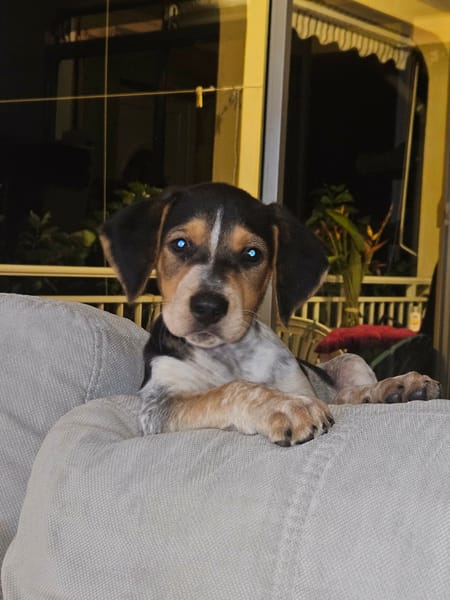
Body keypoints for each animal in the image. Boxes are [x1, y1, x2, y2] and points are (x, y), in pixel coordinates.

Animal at [100, 182, 441, 446]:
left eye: (252, 254)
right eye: (180, 244)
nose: (208, 307)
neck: (228, 356)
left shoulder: (301, 383)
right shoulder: (157, 408)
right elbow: (228, 390)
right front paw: (282, 406)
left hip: (352, 360)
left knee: (350, 394)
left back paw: (396, 387)